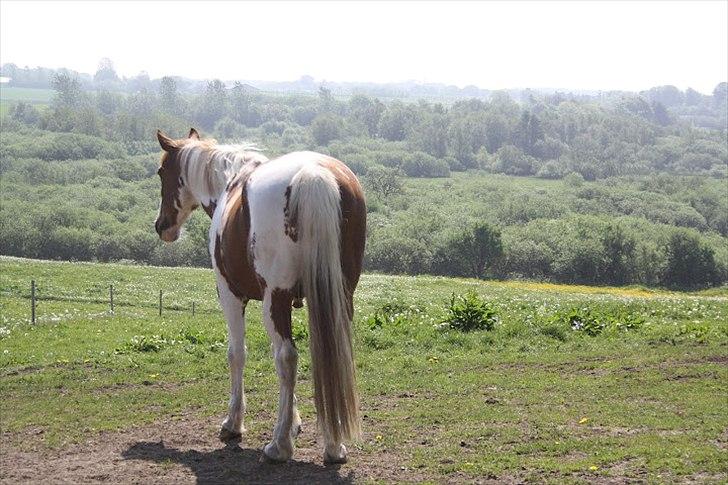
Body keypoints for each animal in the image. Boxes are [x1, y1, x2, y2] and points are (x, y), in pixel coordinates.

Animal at [156, 127, 366, 462]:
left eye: (162, 171)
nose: (161, 226)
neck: (231, 183)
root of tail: (313, 173)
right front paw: (294, 423)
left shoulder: (229, 294)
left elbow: (237, 354)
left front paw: (233, 423)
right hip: (339, 298)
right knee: (330, 354)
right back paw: (333, 446)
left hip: (274, 301)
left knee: (286, 357)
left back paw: (278, 446)